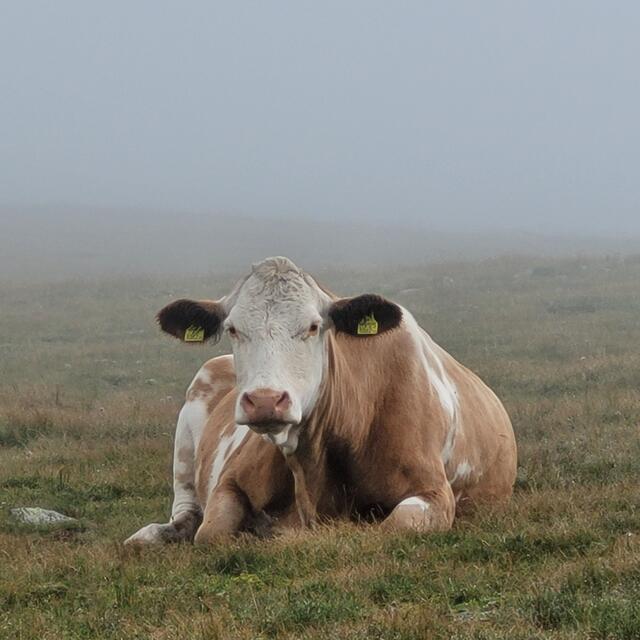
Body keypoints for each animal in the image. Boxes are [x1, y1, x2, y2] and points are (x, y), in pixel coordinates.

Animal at [125, 256, 516, 545]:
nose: (266, 401)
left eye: (313, 326)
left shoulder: (434, 492)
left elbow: (393, 526)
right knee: (186, 512)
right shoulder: (229, 480)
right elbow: (211, 532)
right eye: (233, 329)